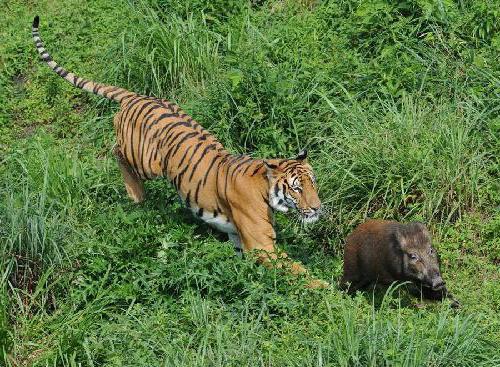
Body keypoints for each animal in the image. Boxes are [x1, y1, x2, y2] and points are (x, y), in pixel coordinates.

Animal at [32, 15, 328, 288]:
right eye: (296, 188)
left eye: (313, 184)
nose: (317, 208)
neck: (266, 189)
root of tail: (137, 95)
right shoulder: (261, 246)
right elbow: (302, 273)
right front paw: (329, 291)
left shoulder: (239, 238)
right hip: (144, 160)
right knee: (116, 150)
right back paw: (136, 195)